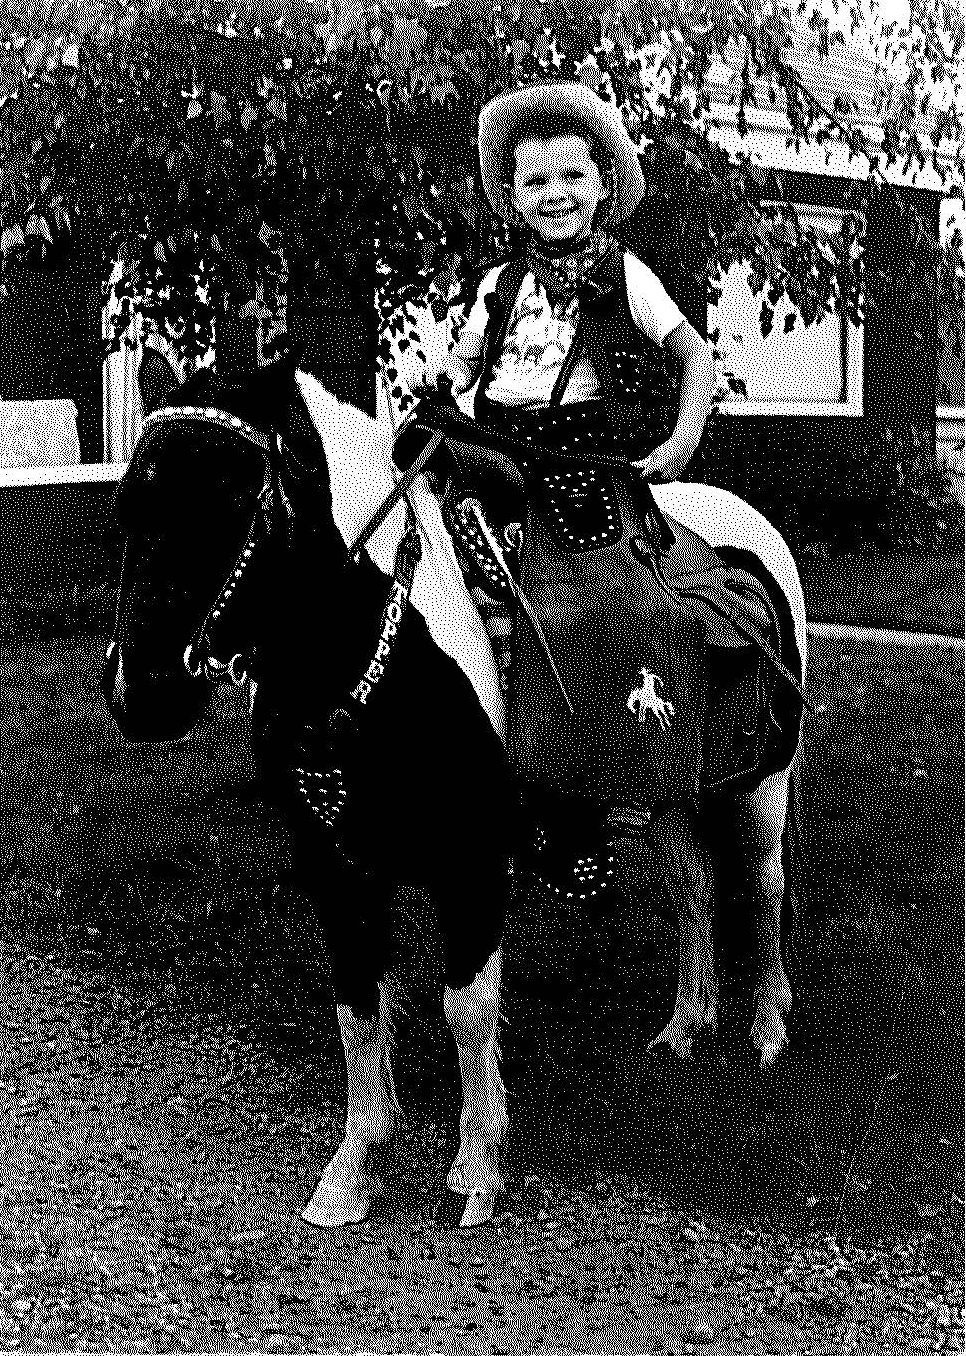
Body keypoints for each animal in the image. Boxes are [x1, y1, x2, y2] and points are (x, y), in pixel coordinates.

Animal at [101, 349, 803, 1231]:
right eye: (127, 504)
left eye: (231, 500)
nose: (141, 692)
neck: (375, 654)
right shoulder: (335, 866)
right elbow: (358, 1006)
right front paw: (353, 1169)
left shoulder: (471, 866)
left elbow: (466, 1009)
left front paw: (476, 1166)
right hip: (671, 793)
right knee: (694, 889)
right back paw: (685, 1024)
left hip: (762, 789)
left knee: (762, 887)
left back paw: (768, 1028)